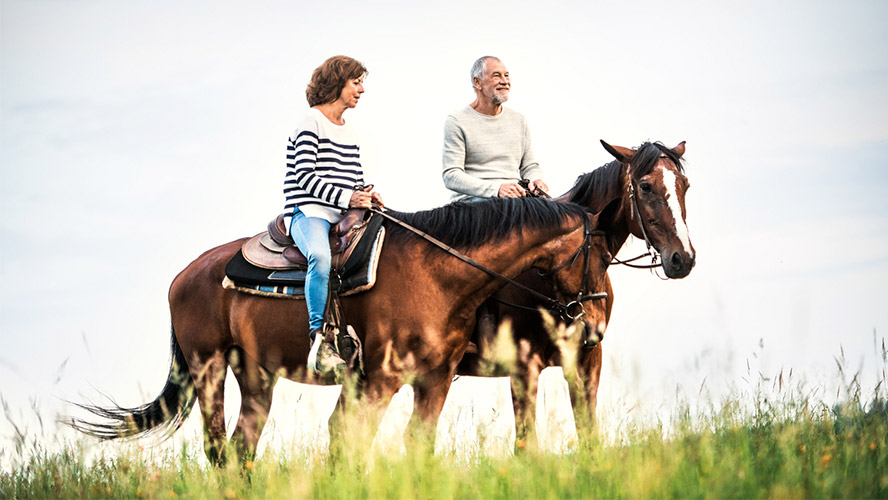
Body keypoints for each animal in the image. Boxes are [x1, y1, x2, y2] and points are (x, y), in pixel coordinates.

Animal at [74, 196, 612, 464]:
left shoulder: (434, 380)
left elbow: (413, 444)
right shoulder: (379, 378)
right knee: (216, 449)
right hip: (208, 368)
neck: (438, 272)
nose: (595, 328)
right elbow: (349, 440)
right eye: (600, 255)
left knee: (241, 447)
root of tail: (183, 276)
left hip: (256, 377)